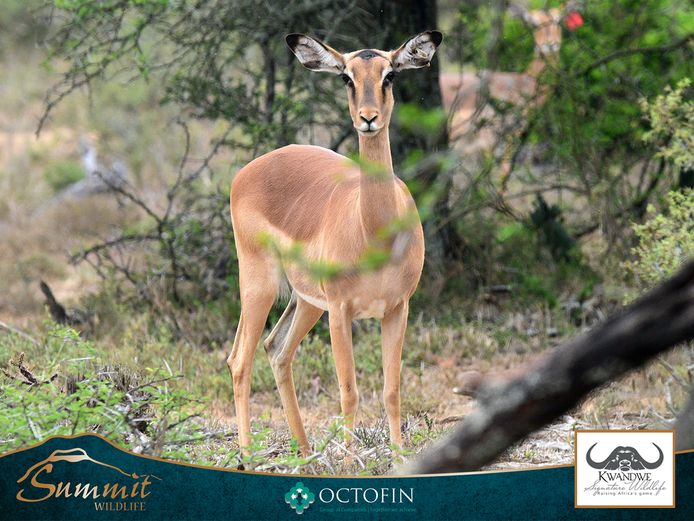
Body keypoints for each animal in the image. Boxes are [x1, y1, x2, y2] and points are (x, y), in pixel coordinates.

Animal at [228, 31, 442, 454]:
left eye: (390, 75)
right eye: (346, 77)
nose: (368, 118)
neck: (375, 233)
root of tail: (247, 171)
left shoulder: (397, 309)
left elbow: (392, 392)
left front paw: (399, 460)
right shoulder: (341, 312)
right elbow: (349, 393)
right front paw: (348, 462)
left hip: (306, 300)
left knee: (276, 350)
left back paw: (306, 455)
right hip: (261, 285)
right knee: (240, 361)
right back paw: (247, 456)